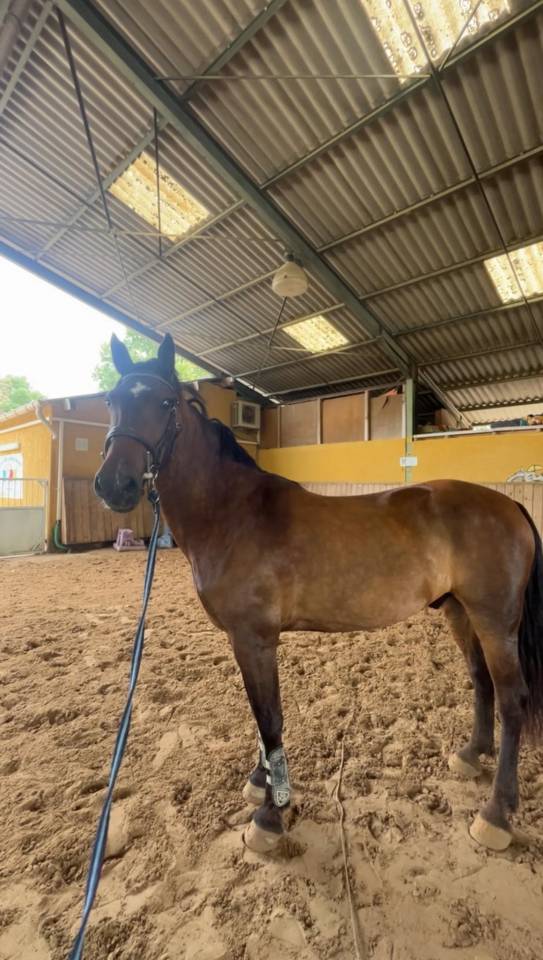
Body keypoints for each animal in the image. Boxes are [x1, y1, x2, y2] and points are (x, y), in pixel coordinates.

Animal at [94, 332, 543, 855]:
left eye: (166, 403)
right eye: (111, 400)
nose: (115, 484)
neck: (233, 514)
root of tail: (508, 503)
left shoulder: (254, 639)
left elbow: (269, 718)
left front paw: (271, 815)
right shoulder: (245, 642)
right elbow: (260, 719)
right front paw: (261, 783)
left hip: (495, 620)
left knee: (512, 698)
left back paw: (496, 814)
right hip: (460, 612)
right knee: (481, 680)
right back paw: (471, 755)